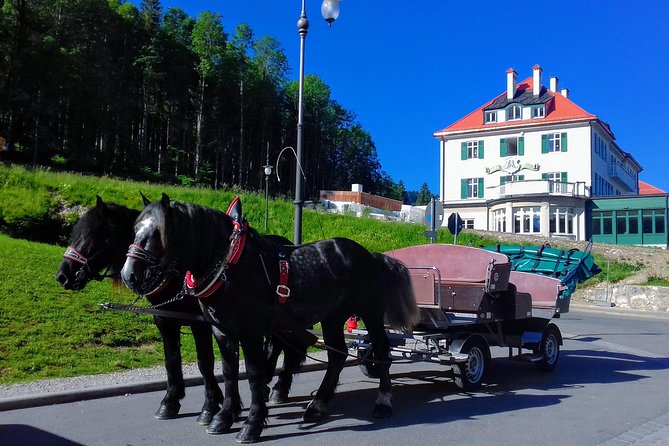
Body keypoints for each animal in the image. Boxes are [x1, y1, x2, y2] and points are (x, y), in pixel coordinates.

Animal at [120, 194, 418, 442]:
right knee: (337, 356)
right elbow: (228, 372)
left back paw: (383, 401)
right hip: (332, 318)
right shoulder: (221, 330)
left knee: (381, 351)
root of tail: (370, 254)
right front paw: (223, 417)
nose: (128, 274)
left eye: (158, 233)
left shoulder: (250, 331)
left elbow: (254, 373)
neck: (229, 266)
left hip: (371, 314)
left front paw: (251, 425)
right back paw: (318, 404)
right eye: (134, 230)